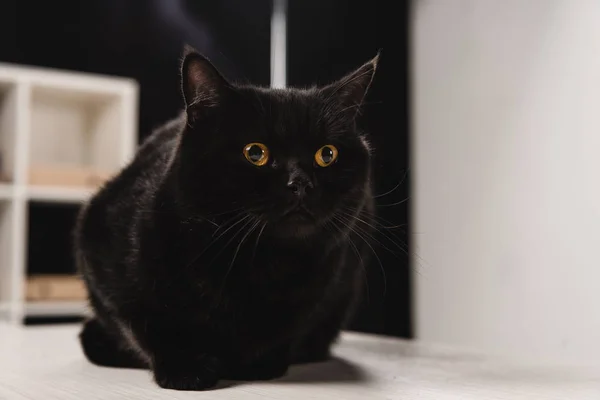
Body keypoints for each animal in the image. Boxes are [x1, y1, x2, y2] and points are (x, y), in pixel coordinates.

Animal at [77, 47, 380, 390]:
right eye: (255, 153)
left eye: (327, 154)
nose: (301, 183)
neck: (253, 263)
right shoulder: (97, 249)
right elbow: (144, 323)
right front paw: (185, 368)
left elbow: (283, 330)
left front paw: (258, 363)